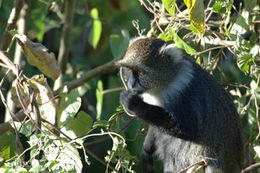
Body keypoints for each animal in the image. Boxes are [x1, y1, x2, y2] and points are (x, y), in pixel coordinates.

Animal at [118, 36, 244, 172]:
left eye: (141, 73)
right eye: (129, 70)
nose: (131, 84)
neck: (164, 84)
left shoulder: (183, 92)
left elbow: (187, 129)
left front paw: (133, 103)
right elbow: (154, 130)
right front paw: (146, 151)